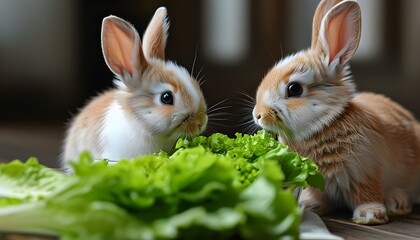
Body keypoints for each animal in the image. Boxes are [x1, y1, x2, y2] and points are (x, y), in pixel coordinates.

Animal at [253, 0, 420, 225]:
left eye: (294, 89)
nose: (257, 115)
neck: (326, 123)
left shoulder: (364, 171)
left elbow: (367, 194)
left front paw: (370, 215)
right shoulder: (318, 184)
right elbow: (319, 196)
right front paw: (310, 206)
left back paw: (397, 203)